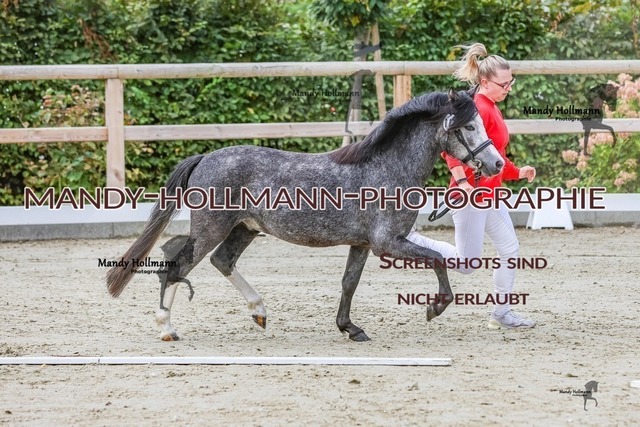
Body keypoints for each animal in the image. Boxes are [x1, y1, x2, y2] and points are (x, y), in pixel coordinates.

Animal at [106, 89, 504, 342]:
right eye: (469, 127)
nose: (497, 163)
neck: (387, 167)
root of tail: (205, 158)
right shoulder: (387, 243)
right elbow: (437, 258)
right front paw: (434, 309)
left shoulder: (362, 244)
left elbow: (349, 283)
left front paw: (350, 328)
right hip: (210, 229)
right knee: (177, 268)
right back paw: (167, 329)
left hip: (244, 228)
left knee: (223, 261)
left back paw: (259, 311)